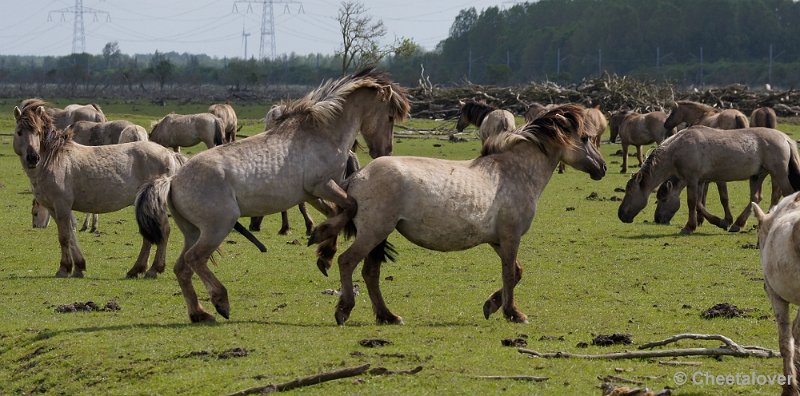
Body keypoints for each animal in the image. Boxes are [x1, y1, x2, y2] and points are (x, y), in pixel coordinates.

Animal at [12, 99, 188, 278]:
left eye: (38, 132)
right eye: (19, 132)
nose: (33, 158)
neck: (55, 160)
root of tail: (170, 154)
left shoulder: (61, 206)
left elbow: (64, 237)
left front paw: (64, 268)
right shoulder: (55, 209)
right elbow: (71, 235)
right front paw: (78, 267)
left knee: (163, 231)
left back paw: (153, 270)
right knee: (149, 237)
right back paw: (136, 269)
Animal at [135, 68, 410, 322]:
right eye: (389, 116)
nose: (384, 151)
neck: (321, 133)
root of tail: (172, 180)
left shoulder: (312, 194)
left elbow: (335, 212)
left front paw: (324, 252)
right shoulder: (322, 185)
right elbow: (349, 206)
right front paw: (322, 244)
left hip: (193, 231)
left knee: (182, 268)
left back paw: (199, 314)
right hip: (217, 227)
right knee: (194, 260)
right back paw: (221, 302)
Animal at [308, 104, 608, 324]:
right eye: (584, 138)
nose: (602, 168)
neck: (513, 172)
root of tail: (357, 177)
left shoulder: (497, 239)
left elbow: (517, 271)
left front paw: (491, 306)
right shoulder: (511, 237)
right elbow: (509, 274)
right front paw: (513, 313)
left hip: (379, 236)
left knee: (370, 273)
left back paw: (388, 316)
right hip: (374, 232)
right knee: (347, 262)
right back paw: (344, 310)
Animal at [620, 125, 800, 234]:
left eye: (630, 192)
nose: (621, 214)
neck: (677, 148)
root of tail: (785, 138)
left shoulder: (692, 179)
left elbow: (692, 202)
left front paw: (688, 227)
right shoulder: (700, 181)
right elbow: (700, 204)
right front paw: (721, 222)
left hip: (779, 174)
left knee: (788, 194)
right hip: (758, 176)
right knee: (755, 198)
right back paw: (738, 224)